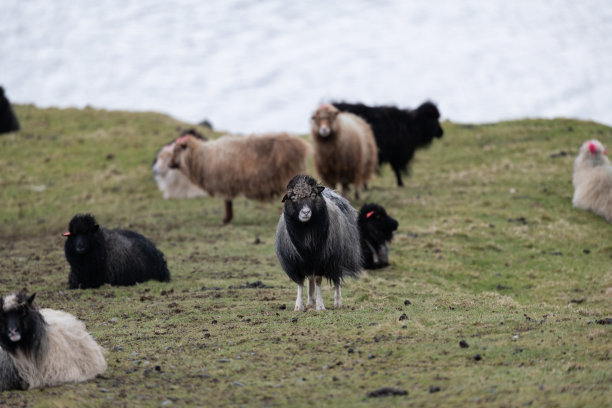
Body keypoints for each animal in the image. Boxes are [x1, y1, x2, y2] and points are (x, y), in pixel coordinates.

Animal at [169, 131, 310, 223]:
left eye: (176, 150)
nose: (169, 164)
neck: (201, 157)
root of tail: (301, 145)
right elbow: (228, 202)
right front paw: (228, 218)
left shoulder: (225, 182)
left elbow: (227, 202)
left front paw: (226, 220)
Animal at [274, 174, 364, 310]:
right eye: (293, 197)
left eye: (313, 195)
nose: (306, 212)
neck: (306, 231)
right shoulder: (296, 263)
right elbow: (301, 282)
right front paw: (299, 305)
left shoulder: (322, 260)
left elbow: (318, 280)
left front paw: (320, 306)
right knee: (310, 278)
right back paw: (310, 301)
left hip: (336, 257)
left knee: (336, 279)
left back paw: (337, 302)